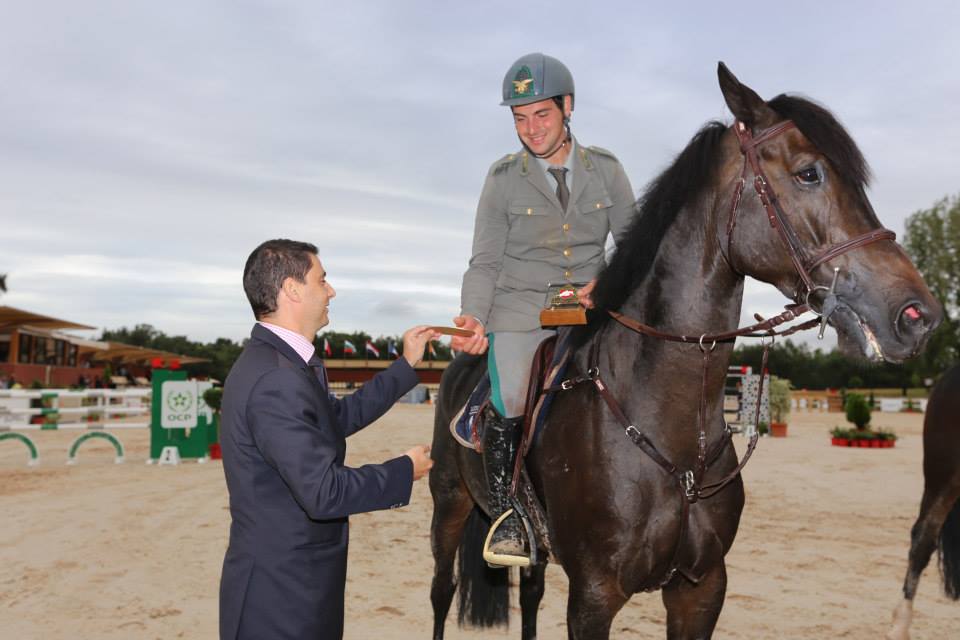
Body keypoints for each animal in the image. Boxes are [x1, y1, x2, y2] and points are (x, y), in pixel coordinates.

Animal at [430, 62, 943, 640]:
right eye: (809, 173)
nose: (917, 316)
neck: (673, 435)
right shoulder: (593, 596)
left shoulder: (701, 589)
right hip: (449, 503)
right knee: (443, 590)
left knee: (532, 592)